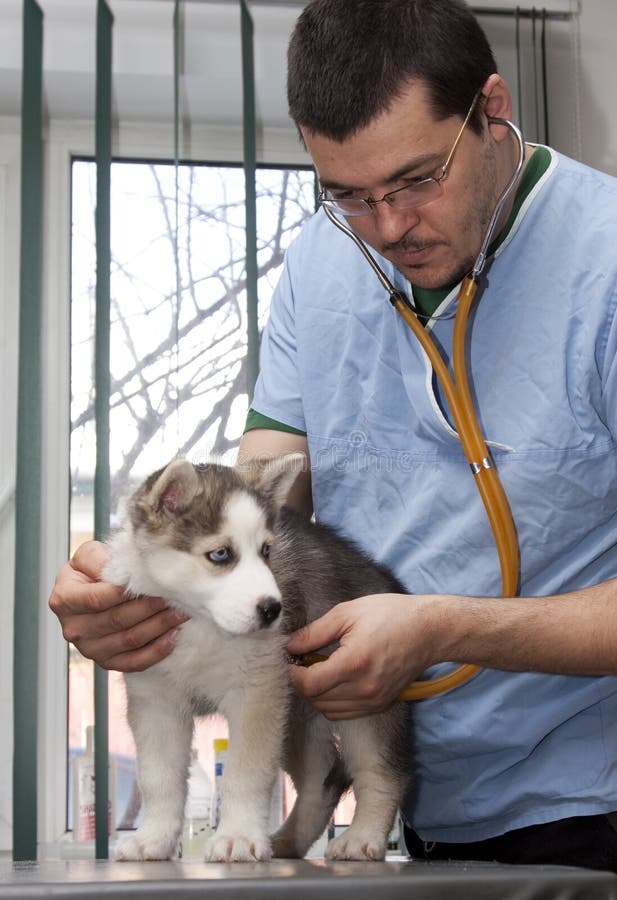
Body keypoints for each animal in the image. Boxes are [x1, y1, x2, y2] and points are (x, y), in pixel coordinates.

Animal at [105, 458, 410, 864]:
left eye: (267, 550)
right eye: (221, 554)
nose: (273, 611)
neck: (199, 621)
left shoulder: (256, 694)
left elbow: (246, 773)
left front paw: (237, 836)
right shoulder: (156, 701)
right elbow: (159, 777)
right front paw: (153, 838)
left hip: (362, 702)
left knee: (380, 772)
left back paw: (362, 836)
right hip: (298, 717)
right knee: (322, 779)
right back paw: (288, 842)